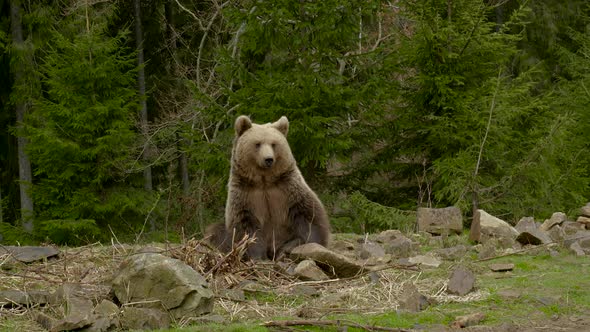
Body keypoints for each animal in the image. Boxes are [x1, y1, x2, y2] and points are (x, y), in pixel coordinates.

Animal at [206, 115, 330, 260]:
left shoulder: (288, 188)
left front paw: (305, 245)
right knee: (216, 232)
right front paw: (257, 255)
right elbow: (246, 227)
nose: (268, 159)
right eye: (257, 144)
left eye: (274, 144)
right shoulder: (246, 194)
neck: (264, 180)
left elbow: (308, 215)